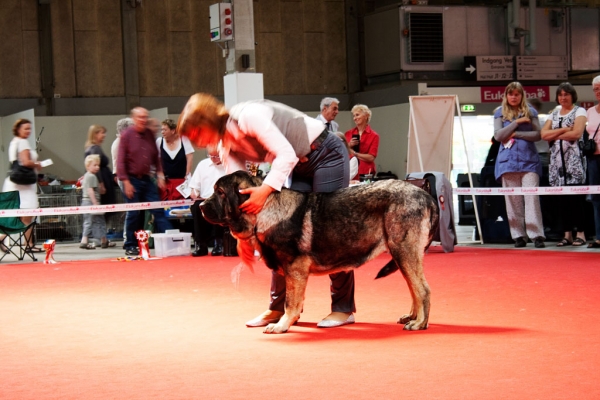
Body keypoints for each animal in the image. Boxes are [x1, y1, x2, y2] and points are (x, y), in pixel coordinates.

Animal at [199, 170, 438, 332]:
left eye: (220, 192)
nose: (200, 206)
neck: (265, 209)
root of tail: (426, 195)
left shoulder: (295, 269)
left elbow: (290, 301)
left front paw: (281, 325)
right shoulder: (290, 272)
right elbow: (292, 299)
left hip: (403, 250)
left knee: (423, 289)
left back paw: (419, 323)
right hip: (403, 255)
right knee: (414, 288)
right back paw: (412, 316)